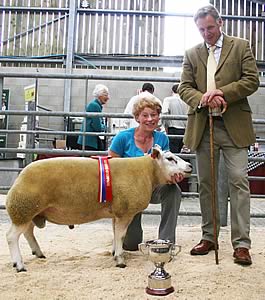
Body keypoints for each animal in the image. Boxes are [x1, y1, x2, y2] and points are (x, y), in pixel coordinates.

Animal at [5, 145, 192, 272]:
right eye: (170, 159)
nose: (190, 167)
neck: (147, 171)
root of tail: (20, 177)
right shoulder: (125, 212)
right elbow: (120, 235)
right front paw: (120, 260)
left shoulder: (116, 212)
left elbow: (116, 234)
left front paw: (115, 253)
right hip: (24, 208)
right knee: (11, 236)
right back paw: (19, 265)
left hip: (31, 211)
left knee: (28, 232)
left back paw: (38, 253)